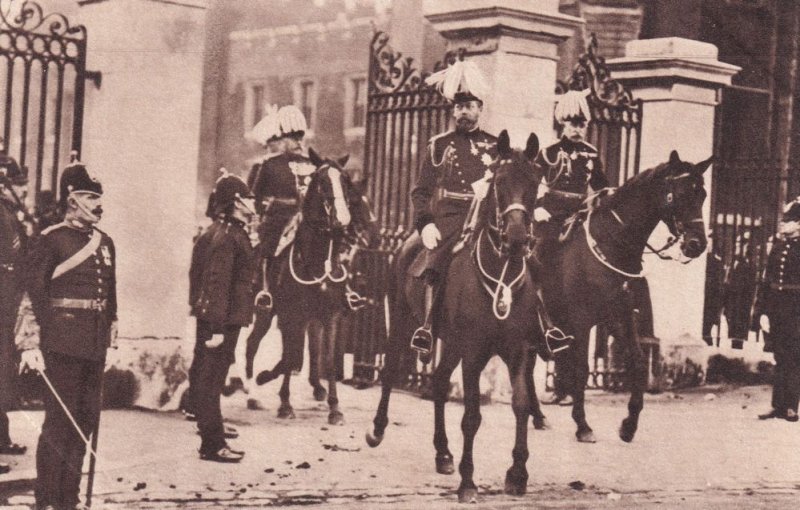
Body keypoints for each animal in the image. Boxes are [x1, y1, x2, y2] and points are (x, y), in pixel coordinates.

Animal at [253, 149, 378, 424]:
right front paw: (284, 403)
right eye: (321, 182)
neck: (317, 260)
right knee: (254, 343)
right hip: (266, 313)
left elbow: (327, 360)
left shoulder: (329, 316)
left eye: (345, 182)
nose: (343, 221)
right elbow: (291, 355)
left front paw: (335, 408)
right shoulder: (292, 314)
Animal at [368, 130, 548, 502]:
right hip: (405, 323)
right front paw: (468, 481)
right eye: (499, 182)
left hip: (450, 342)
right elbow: (471, 416)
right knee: (390, 371)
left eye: (535, 182)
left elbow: (521, 405)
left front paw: (518, 473)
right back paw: (377, 429)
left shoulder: (519, 351)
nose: (517, 239)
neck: (502, 275)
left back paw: (443, 453)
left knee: (437, 381)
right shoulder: (473, 353)